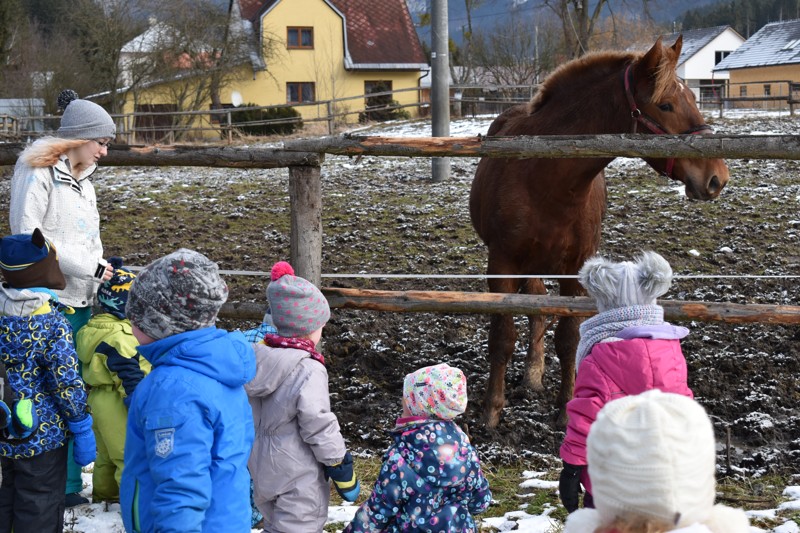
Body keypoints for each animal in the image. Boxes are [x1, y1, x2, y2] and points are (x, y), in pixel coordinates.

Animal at [472, 36, 728, 428]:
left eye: (694, 99)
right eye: (666, 104)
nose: (717, 177)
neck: (543, 178)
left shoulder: (575, 268)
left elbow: (568, 338)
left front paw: (566, 407)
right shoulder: (502, 264)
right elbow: (502, 336)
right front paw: (492, 410)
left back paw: (534, 373)